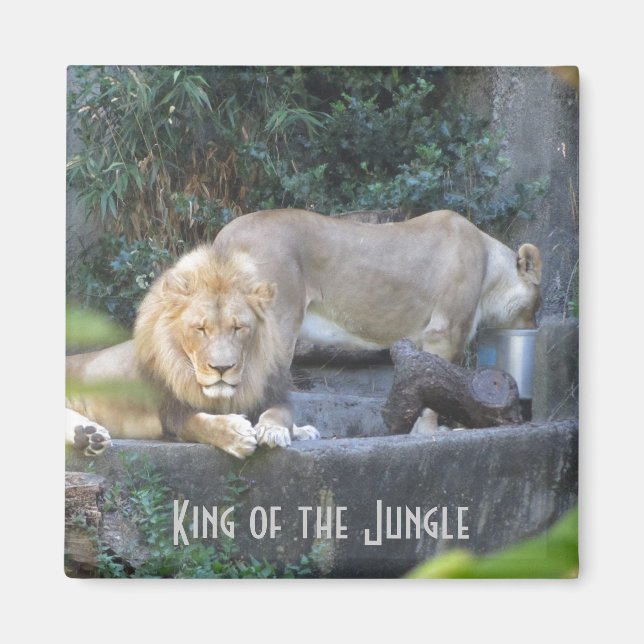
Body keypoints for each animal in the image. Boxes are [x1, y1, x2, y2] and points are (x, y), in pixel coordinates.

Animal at [66, 208, 541, 456]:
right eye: (538, 301)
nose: (536, 325)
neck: (490, 263)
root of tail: (226, 235)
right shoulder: (443, 332)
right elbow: (431, 390)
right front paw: (429, 435)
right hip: (282, 320)